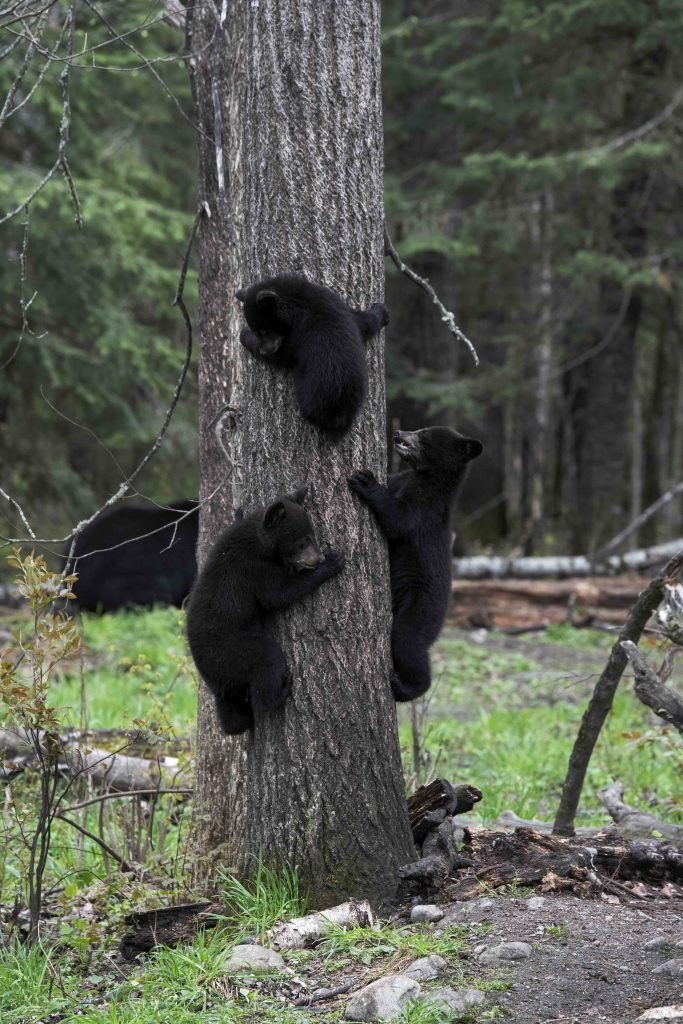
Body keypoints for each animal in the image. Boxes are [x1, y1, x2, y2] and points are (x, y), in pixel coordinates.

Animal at [185, 485, 342, 733]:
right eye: (302, 541)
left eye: (312, 536)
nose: (318, 558)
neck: (257, 542)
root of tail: (216, 684)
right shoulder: (253, 570)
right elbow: (278, 594)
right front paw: (332, 562)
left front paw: (238, 513)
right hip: (236, 651)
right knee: (268, 662)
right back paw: (281, 690)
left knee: (234, 719)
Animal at [235, 274, 387, 438]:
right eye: (258, 330)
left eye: (263, 331)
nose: (264, 350)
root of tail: (338, 412)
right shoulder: (337, 305)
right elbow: (364, 322)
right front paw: (381, 311)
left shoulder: (297, 335)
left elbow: (281, 357)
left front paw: (244, 336)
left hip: (308, 391)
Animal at [350, 425, 483, 704]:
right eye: (422, 428)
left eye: (425, 435)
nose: (399, 432)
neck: (425, 477)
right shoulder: (402, 481)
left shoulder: (425, 510)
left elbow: (398, 518)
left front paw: (366, 481)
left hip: (420, 608)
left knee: (407, 642)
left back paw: (404, 687)